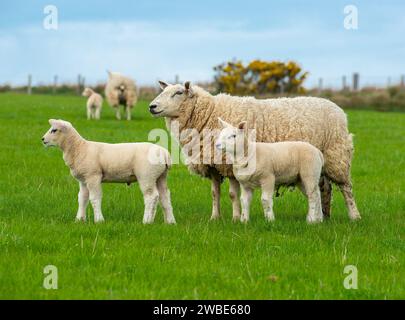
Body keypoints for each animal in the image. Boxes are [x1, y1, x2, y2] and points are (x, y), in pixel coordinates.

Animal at [41, 118, 175, 225]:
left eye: (54, 130)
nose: (42, 139)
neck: (79, 148)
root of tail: (164, 153)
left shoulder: (93, 176)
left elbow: (95, 198)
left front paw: (99, 220)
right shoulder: (83, 180)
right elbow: (82, 199)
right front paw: (79, 220)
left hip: (146, 175)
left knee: (151, 196)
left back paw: (147, 221)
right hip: (161, 176)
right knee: (165, 196)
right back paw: (170, 222)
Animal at [148, 80, 360, 222]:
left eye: (178, 93)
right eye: (164, 91)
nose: (152, 106)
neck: (209, 114)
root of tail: (337, 108)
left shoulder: (229, 165)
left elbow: (233, 195)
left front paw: (235, 218)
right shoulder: (214, 165)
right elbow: (215, 194)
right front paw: (215, 218)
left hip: (337, 155)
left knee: (346, 188)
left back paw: (354, 216)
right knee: (325, 188)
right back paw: (325, 216)